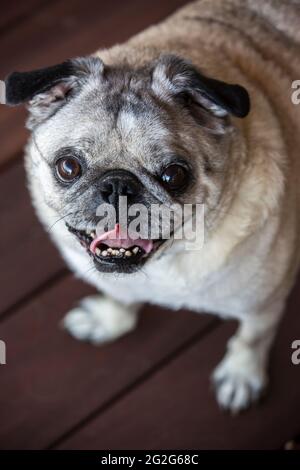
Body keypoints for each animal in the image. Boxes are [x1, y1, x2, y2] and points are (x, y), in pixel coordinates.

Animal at [4, 0, 300, 412]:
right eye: (68, 167)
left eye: (174, 175)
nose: (118, 184)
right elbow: (119, 296)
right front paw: (109, 319)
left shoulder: (263, 304)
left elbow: (251, 338)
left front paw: (241, 374)